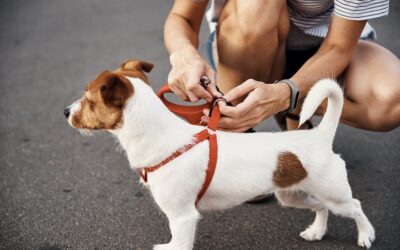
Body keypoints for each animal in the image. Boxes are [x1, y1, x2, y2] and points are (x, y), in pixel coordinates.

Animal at [65, 59, 376, 249]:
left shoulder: (182, 217)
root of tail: (319, 136)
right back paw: (316, 231)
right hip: (292, 195)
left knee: (356, 205)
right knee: (321, 207)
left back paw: (365, 235)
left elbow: (179, 243)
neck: (160, 137)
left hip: (335, 195)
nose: (66, 111)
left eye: (88, 100)